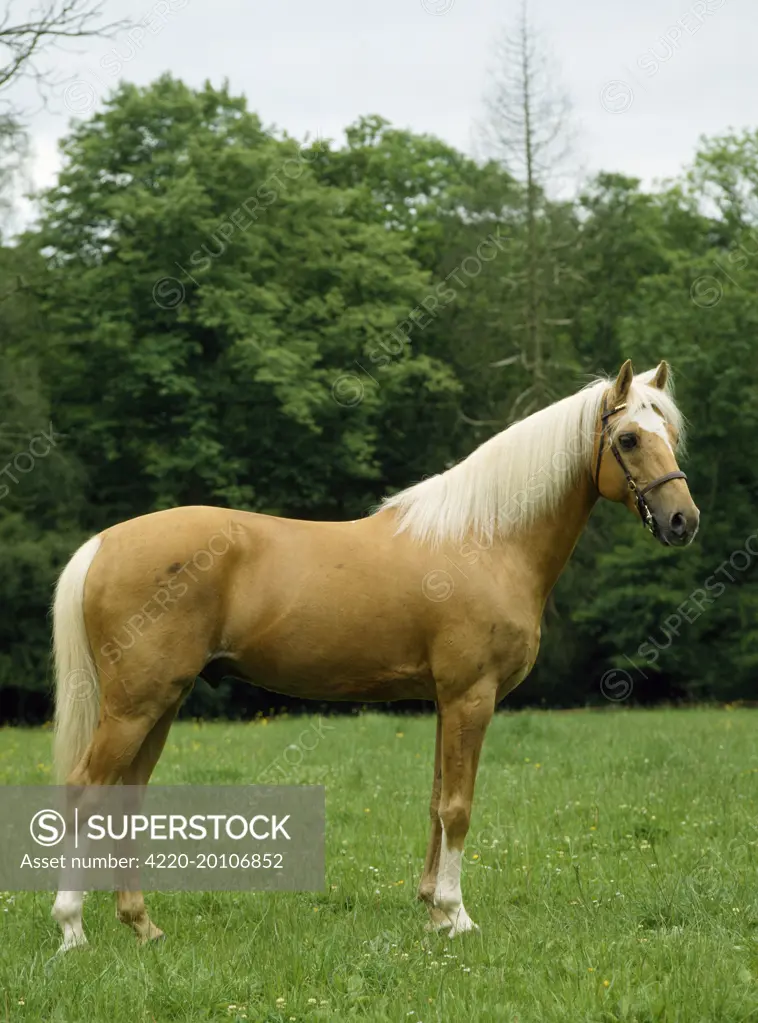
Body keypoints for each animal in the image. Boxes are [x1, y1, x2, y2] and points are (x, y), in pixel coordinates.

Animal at [48, 358, 699, 949]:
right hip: (136, 705)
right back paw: (71, 928)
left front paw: (434, 911)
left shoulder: (446, 701)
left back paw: (142, 926)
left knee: (125, 799)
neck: (486, 542)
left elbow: (436, 801)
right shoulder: (471, 697)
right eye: (629, 438)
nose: (682, 521)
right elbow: (458, 806)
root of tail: (104, 543)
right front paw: (459, 916)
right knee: (85, 791)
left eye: (671, 434)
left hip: (161, 702)